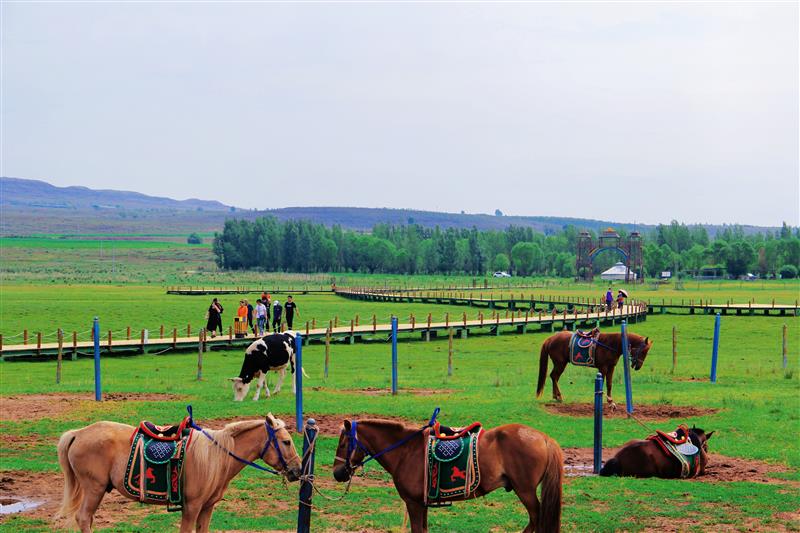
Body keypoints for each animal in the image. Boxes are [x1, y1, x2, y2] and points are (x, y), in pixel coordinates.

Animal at [55, 412, 300, 532]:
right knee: (83, 518)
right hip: (94, 488)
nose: (297, 470)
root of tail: (78, 433)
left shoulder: (206, 508)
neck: (215, 455)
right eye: (286, 442)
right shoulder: (191, 507)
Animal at [332, 412, 564, 532]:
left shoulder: (413, 503)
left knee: (536, 518)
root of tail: (544, 438)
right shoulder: (421, 504)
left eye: (343, 444)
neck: (406, 450)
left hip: (524, 490)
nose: (337, 473)